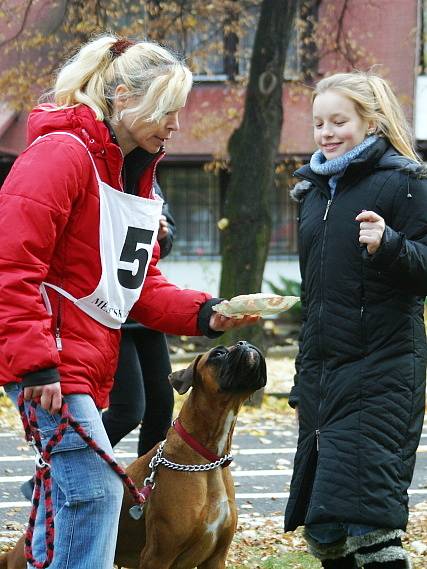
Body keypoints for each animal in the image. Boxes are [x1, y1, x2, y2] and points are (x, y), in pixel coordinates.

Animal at [0, 340, 268, 564]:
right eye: (218, 354)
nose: (245, 342)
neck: (207, 457)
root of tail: (13, 552)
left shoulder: (216, 558)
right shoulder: (158, 555)